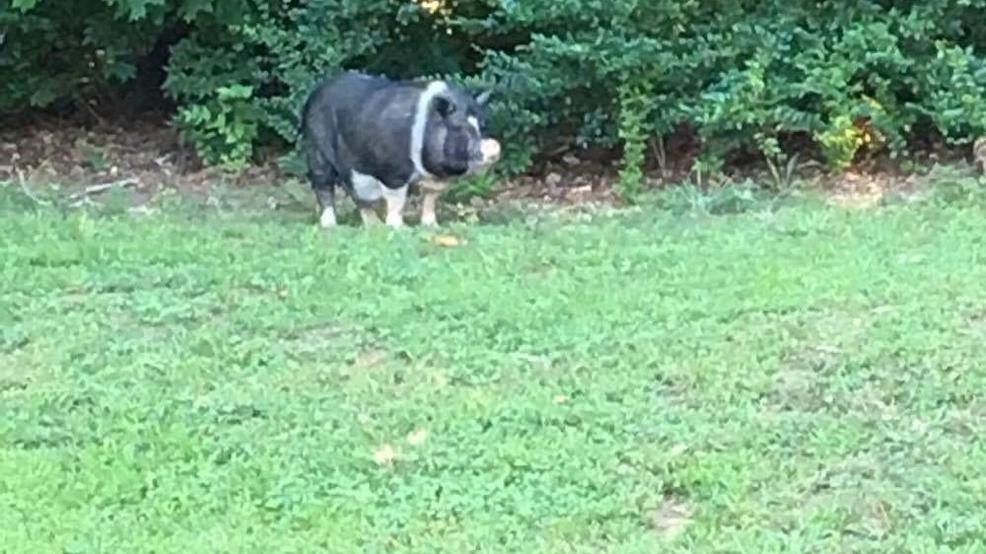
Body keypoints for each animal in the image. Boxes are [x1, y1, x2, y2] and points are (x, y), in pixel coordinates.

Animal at [300, 71, 501, 229]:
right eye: (458, 127)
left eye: (483, 126)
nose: (493, 147)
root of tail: (315, 93)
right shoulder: (393, 172)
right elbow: (397, 200)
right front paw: (399, 228)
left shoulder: (435, 177)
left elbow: (430, 197)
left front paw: (432, 226)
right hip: (316, 149)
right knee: (323, 185)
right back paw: (330, 225)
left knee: (355, 193)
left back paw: (374, 226)